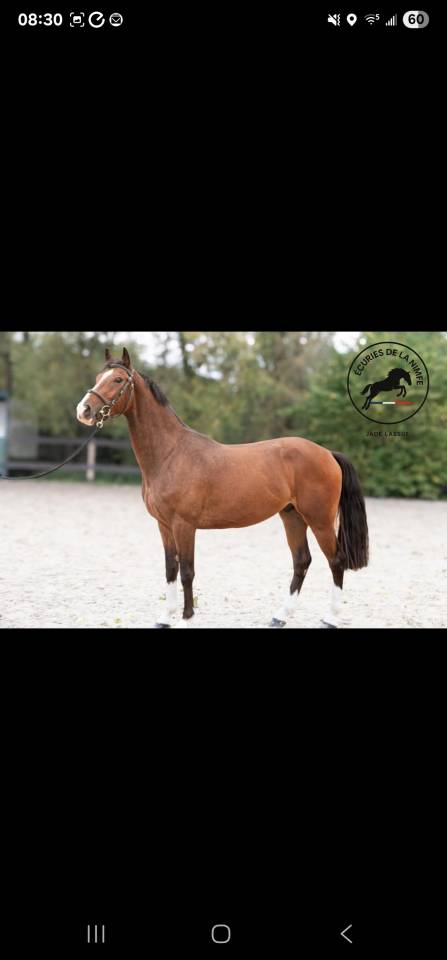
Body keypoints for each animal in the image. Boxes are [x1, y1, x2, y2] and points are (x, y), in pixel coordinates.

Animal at [76, 348, 369, 629]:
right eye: (97, 378)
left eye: (117, 380)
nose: (84, 410)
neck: (171, 454)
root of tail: (327, 454)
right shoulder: (164, 525)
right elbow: (171, 570)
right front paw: (164, 618)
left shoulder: (184, 525)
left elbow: (187, 572)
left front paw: (186, 619)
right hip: (292, 516)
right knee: (302, 561)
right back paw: (280, 616)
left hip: (320, 521)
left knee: (336, 561)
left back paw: (330, 618)